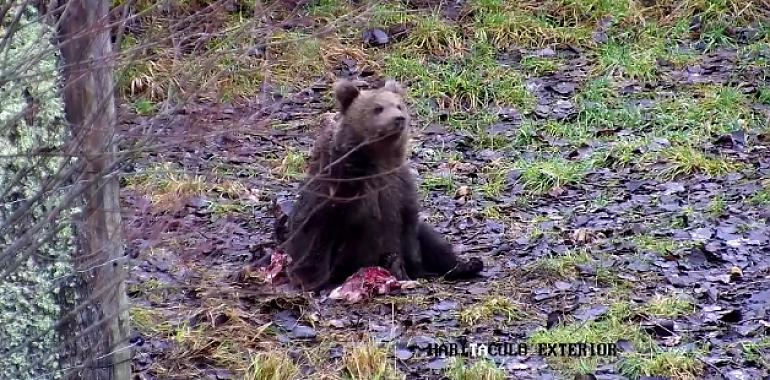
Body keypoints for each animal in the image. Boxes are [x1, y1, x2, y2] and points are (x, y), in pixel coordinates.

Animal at [280, 77, 484, 290]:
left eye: (399, 105)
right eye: (378, 108)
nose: (399, 118)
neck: (379, 159)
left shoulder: (399, 185)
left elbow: (409, 226)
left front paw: (411, 267)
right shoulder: (340, 183)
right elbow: (316, 227)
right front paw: (308, 277)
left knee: (431, 239)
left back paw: (466, 264)